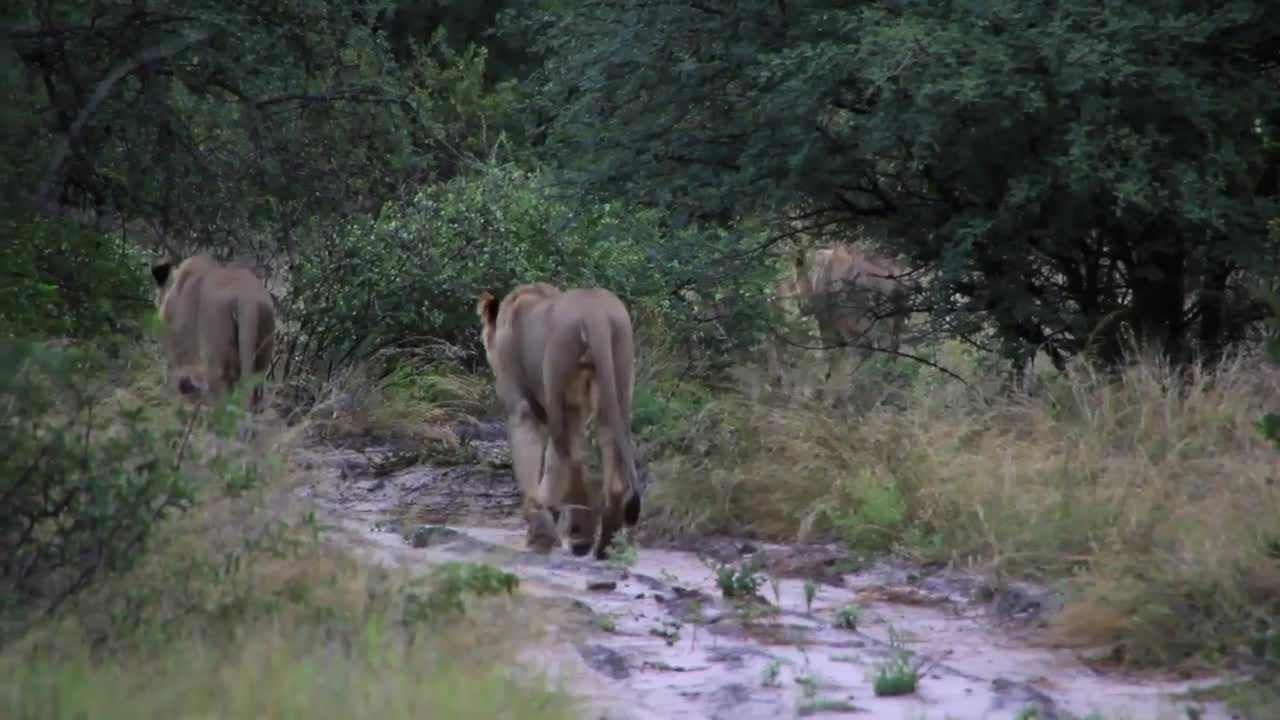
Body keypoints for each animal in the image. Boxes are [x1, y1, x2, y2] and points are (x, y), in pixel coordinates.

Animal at [478, 280, 645, 556]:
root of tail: (595, 313)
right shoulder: (575, 408)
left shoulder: (521, 407)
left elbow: (531, 467)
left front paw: (539, 533)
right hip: (616, 385)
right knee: (608, 468)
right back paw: (603, 545)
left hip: (557, 381)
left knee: (571, 460)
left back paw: (579, 537)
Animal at [762, 243, 916, 399]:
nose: (800, 305)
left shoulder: (828, 322)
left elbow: (833, 354)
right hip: (892, 323)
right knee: (890, 350)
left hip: (854, 320)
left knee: (864, 349)